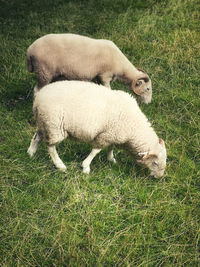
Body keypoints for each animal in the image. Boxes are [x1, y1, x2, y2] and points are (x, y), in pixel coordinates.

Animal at [27, 80, 166, 179]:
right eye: (155, 163)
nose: (159, 177)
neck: (134, 128)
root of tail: (38, 98)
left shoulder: (113, 134)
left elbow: (111, 147)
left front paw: (111, 159)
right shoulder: (105, 135)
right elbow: (95, 151)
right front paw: (85, 167)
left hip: (45, 122)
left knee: (37, 137)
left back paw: (30, 153)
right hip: (55, 126)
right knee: (51, 147)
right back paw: (60, 165)